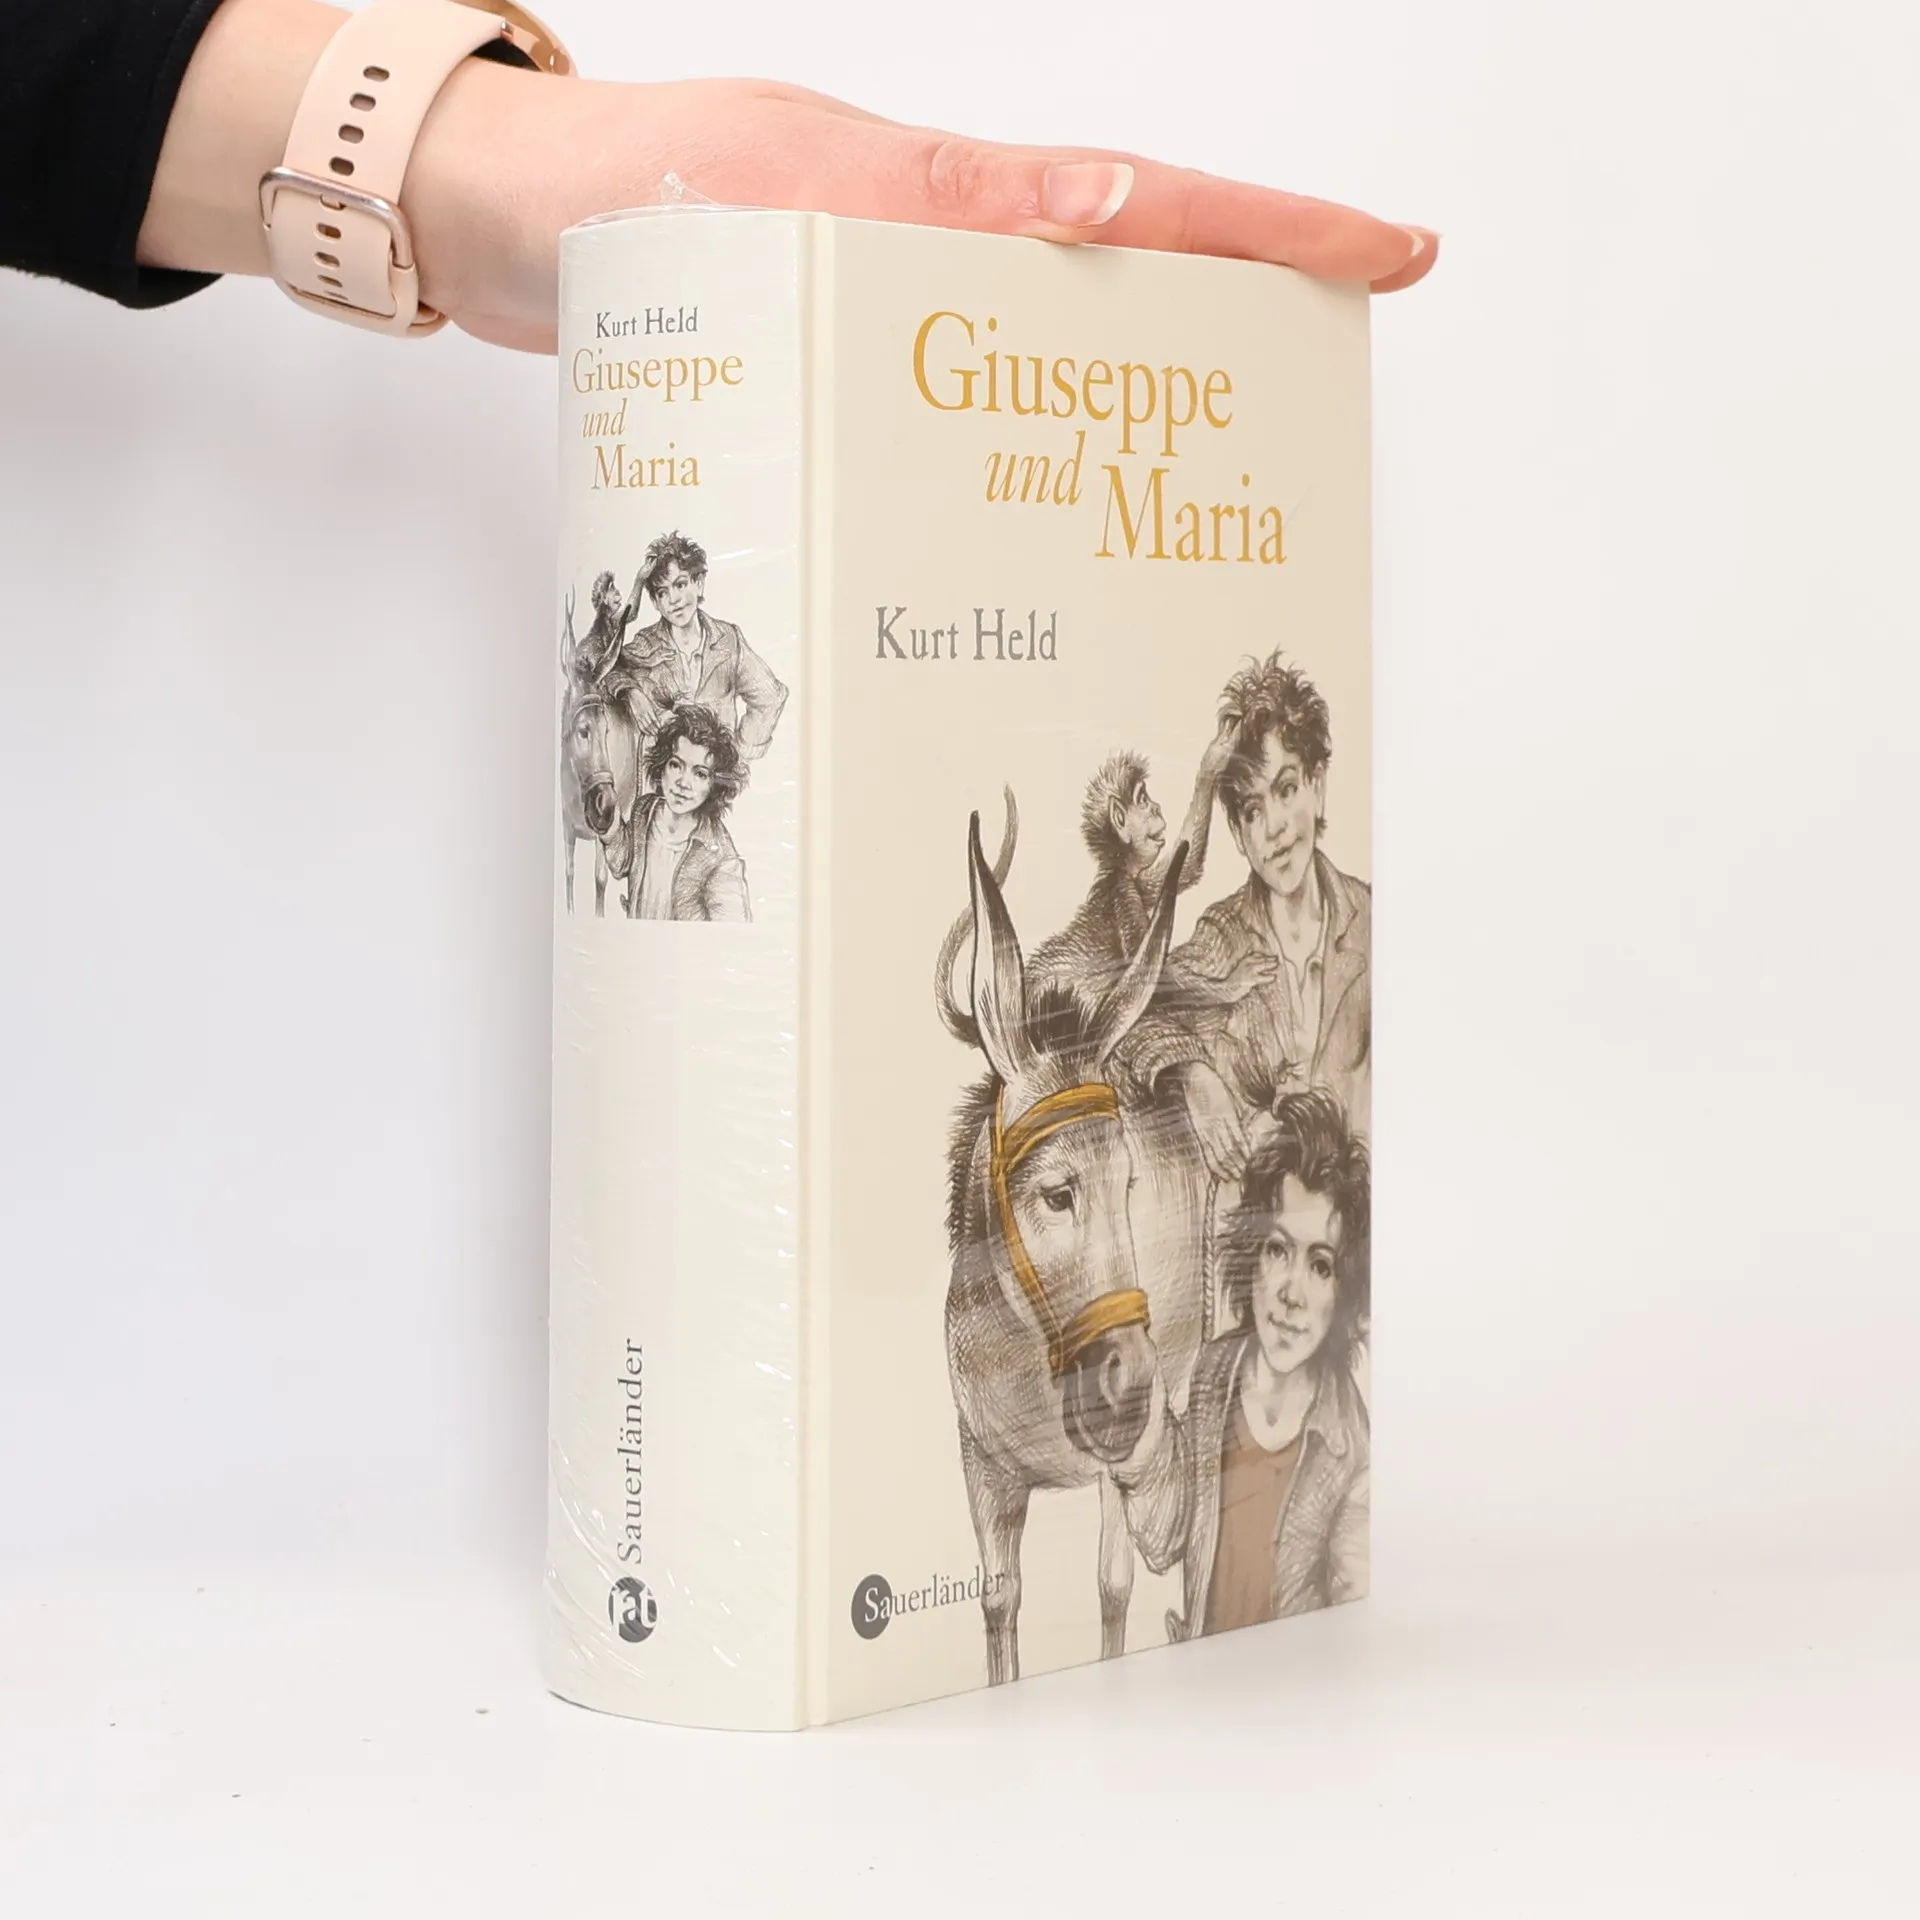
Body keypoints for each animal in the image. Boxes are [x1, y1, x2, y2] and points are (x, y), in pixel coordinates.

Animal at [938, 801, 1211, 1684]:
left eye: (1130, 1182)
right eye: (1057, 1192)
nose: (1125, 1396)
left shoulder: (1123, 1467)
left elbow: (1113, 1590)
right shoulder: (982, 1467)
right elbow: (998, 1604)